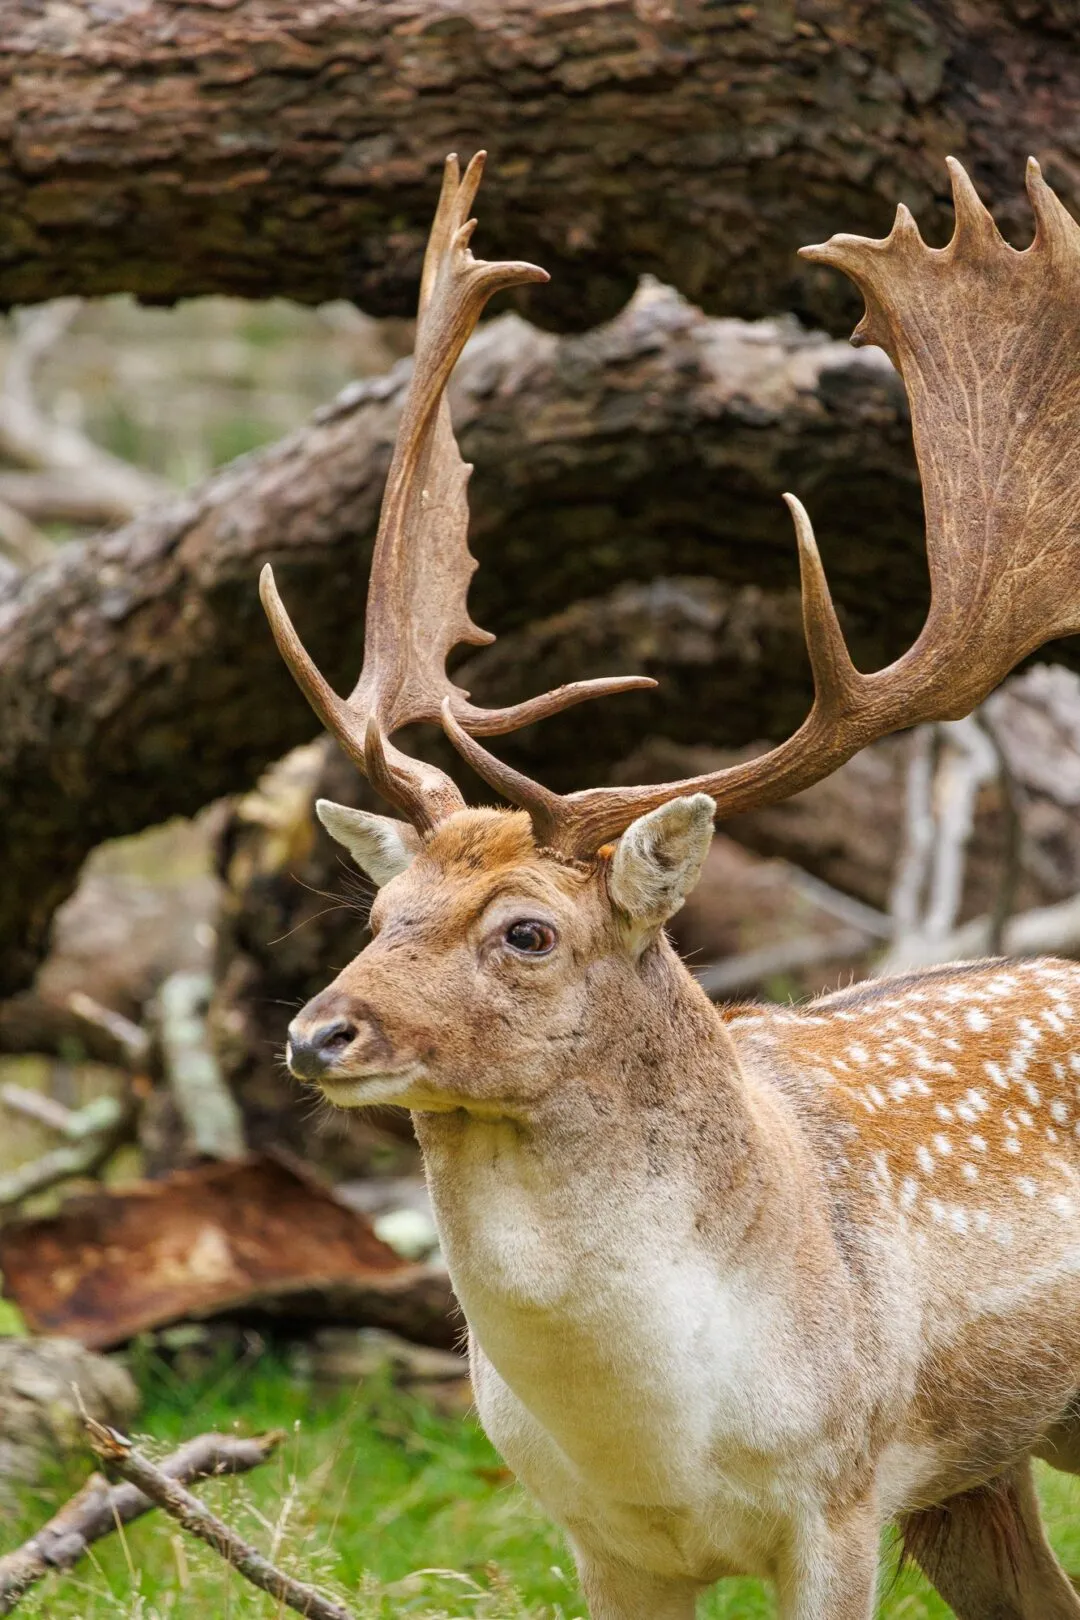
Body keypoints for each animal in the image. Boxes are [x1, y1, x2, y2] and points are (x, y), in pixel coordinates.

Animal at [261, 150, 1080, 1619]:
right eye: (379, 915)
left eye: (527, 931)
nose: (318, 1034)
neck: (658, 1433)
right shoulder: (601, 1538)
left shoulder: (841, 1495)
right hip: (985, 1472)